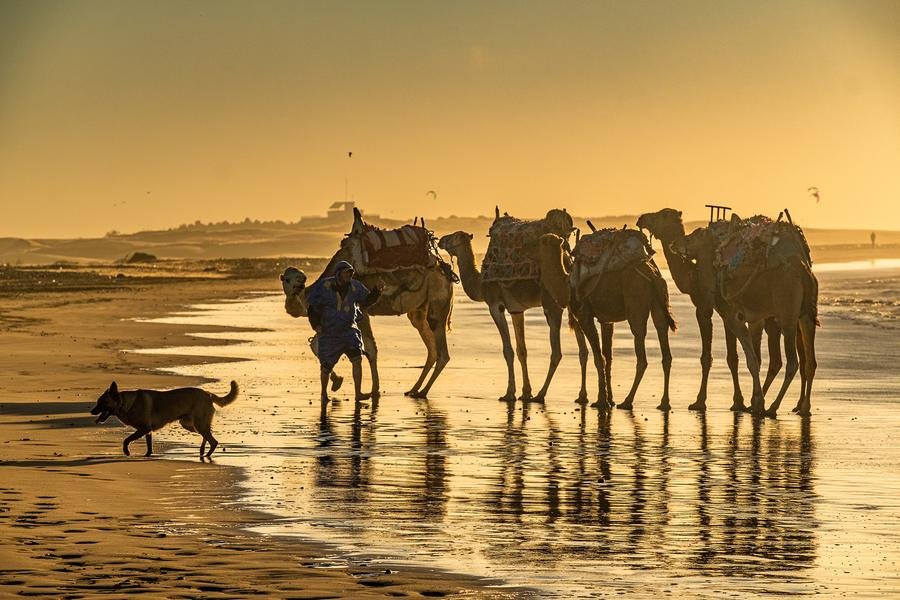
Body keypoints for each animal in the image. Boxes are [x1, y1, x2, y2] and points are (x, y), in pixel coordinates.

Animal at [282, 231, 454, 400]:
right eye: (287, 279)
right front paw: (337, 382)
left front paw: (374, 390)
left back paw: (423, 392)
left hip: (438, 297)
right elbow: (315, 344)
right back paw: (414, 389)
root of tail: (446, 273)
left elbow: (370, 349)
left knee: (442, 350)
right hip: (420, 309)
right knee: (431, 346)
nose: (299, 284)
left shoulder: (362, 311)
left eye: (299, 277)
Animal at [437, 215, 589, 403]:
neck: (480, 284)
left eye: (453, 237)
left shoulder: (495, 306)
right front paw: (525, 392)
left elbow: (508, 350)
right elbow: (521, 350)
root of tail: (568, 264)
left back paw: (541, 395)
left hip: (551, 304)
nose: (440, 240)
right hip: (573, 304)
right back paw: (582, 396)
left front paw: (509, 393)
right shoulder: (516, 310)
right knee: (583, 350)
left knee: (557, 352)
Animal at [533, 233, 676, 410]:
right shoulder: (606, 321)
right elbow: (608, 357)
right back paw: (664, 403)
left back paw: (627, 401)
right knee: (664, 340)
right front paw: (609, 399)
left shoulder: (584, 315)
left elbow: (598, 357)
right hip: (659, 301)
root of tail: (653, 275)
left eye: (540, 243)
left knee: (641, 351)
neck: (567, 285)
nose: (530, 251)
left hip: (636, 302)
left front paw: (601, 401)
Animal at [635, 209, 782, 412]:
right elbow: (732, 358)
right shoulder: (725, 312)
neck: (693, 275)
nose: (641, 218)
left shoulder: (705, 307)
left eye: (662, 214)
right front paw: (738, 401)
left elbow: (708, 357)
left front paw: (699, 401)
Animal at [675, 222, 818, 417]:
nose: (675, 243)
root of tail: (804, 273)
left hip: (787, 314)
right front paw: (755, 402)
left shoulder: (734, 317)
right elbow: (755, 359)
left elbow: (751, 360)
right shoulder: (754, 319)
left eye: (693, 235)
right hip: (806, 315)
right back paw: (804, 408)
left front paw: (757, 402)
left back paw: (773, 407)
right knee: (810, 361)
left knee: (793, 362)